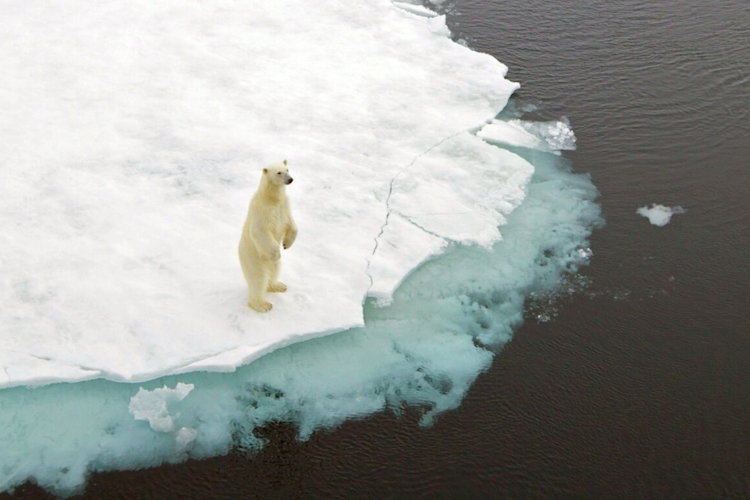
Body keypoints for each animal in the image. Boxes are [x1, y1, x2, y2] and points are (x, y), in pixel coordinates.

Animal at [239, 160, 297, 312]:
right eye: (278, 172)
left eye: (287, 169)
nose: (290, 179)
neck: (272, 198)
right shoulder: (262, 210)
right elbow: (260, 231)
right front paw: (277, 253)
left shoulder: (284, 206)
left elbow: (291, 224)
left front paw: (286, 244)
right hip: (253, 259)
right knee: (258, 279)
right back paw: (262, 305)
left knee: (274, 270)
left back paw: (278, 286)